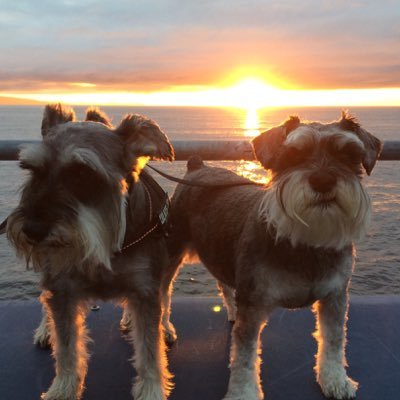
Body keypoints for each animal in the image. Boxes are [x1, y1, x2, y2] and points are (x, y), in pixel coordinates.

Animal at [7, 104, 176, 400]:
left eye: (82, 174)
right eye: (32, 170)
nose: (32, 229)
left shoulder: (146, 290)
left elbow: (149, 348)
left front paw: (151, 389)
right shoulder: (61, 288)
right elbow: (66, 347)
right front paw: (63, 388)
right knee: (45, 301)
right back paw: (45, 329)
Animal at [166, 112, 382, 400]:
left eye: (348, 155)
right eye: (293, 154)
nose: (323, 181)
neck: (305, 242)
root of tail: (196, 166)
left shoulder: (335, 297)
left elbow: (334, 339)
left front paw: (336, 379)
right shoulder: (254, 306)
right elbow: (244, 358)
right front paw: (243, 394)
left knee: (224, 284)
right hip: (172, 252)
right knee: (162, 293)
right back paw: (165, 329)